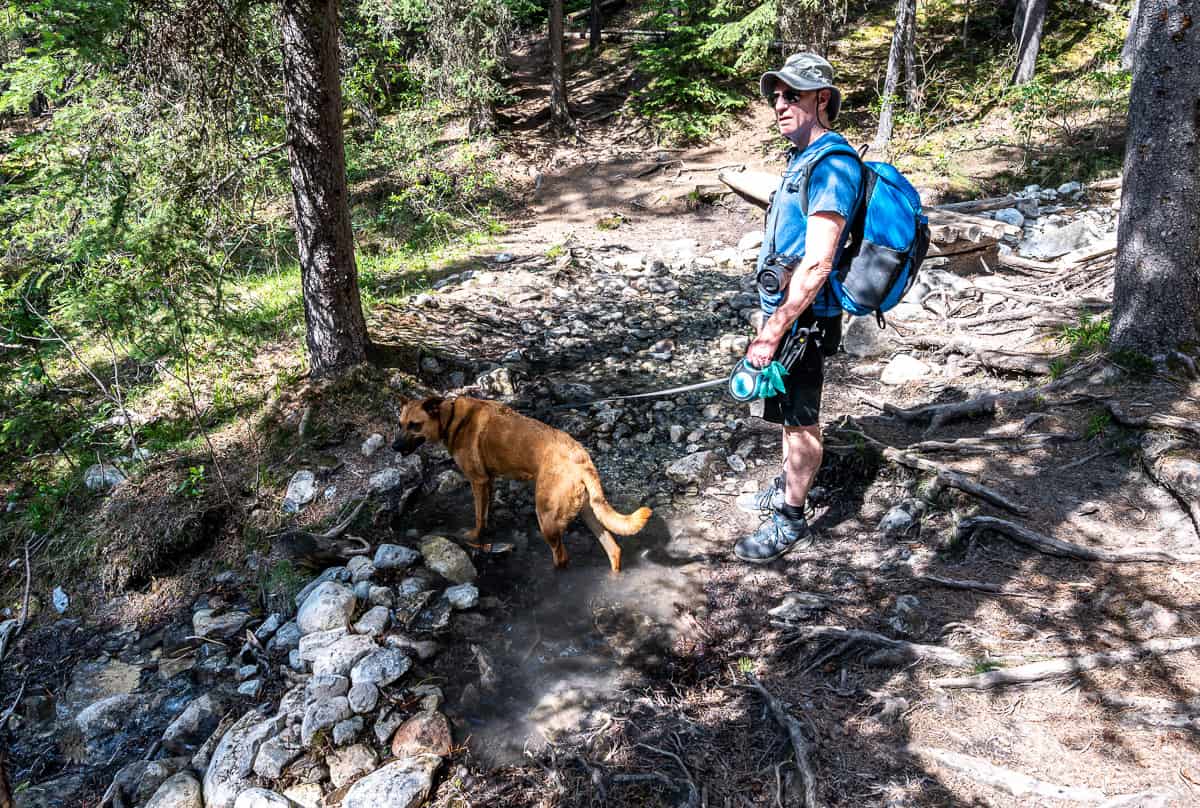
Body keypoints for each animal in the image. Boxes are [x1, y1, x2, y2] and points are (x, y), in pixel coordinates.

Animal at [396, 393, 652, 571]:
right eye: (400, 424)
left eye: (415, 425)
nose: (393, 446)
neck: (449, 419)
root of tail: (580, 460)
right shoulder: (489, 482)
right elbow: (486, 513)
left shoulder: (478, 481)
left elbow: (478, 517)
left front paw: (474, 536)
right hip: (589, 512)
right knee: (614, 549)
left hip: (547, 518)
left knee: (561, 557)